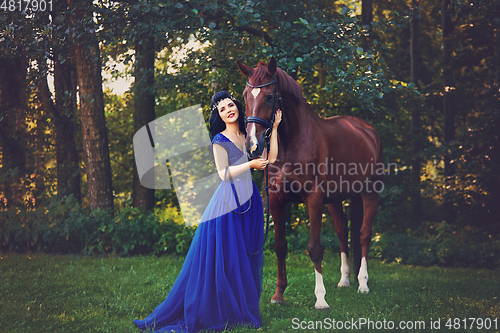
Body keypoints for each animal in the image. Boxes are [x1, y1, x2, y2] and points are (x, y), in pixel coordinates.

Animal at [237, 56, 382, 308]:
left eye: (269, 96)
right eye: (246, 95)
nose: (252, 146)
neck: (291, 142)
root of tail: (368, 130)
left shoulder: (313, 198)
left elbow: (314, 248)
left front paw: (320, 299)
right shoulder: (276, 199)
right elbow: (280, 246)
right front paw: (278, 295)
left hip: (369, 193)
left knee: (364, 233)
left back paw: (363, 284)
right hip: (335, 199)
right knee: (342, 229)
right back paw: (345, 280)